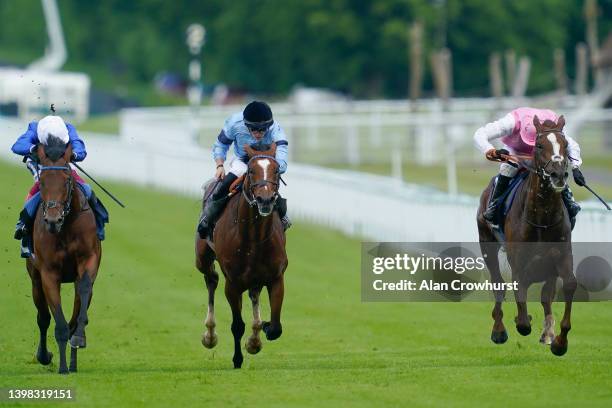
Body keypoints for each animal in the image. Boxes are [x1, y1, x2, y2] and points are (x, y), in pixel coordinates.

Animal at [27, 139, 101, 374]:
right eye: (42, 181)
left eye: (67, 179)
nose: (53, 220)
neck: (66, 227)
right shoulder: (49, 273)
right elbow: (57, 322)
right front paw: (61, 367)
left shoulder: (89, 260)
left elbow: (83, 292)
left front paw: (78, 338)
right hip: (34, 279)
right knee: (43, 318)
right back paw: (45, 356)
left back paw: (73, 361)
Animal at [197, 144, 290, 370]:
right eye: (251, 171)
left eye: (276, 170)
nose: (265, 199)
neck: (254, 237)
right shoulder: (233, 283)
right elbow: (237, 325)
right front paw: (237, 359)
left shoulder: (276, 277)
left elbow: (276, 328)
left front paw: (260, 332)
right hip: (202, 258)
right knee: (211, 279)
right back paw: (209, 335)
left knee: (254, 293)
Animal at [480, 115, 576, 356]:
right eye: (539, 145)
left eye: (566, 144)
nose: (558, 174)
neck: (542, 216)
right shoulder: (519, 263)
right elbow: (522, 318)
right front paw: (520, 320)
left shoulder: (561, 255)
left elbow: (568, 285)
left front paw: (560, 341)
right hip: (487, 245)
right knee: (498, 283)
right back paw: (499, 330)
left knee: (546, 294)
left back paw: (548, 332)